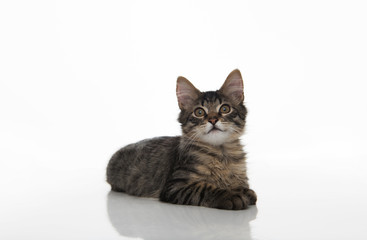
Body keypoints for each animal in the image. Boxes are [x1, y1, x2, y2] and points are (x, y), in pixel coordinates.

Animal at [105, 69, 256, 210]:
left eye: (225, 109)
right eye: (199, 112)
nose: (213, 119)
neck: (222, 154)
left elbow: (241, 186)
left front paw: (244, 191)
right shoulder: (175, 185)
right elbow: (205, 188)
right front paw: (231, 195)